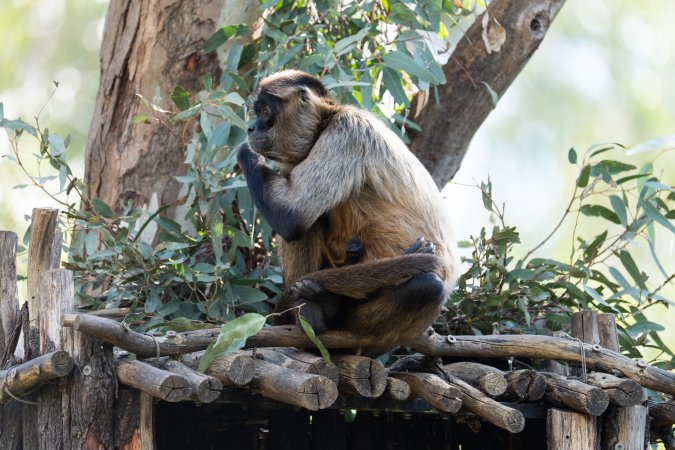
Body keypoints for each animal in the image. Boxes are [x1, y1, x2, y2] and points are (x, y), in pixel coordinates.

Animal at [237, 69, 461, 345]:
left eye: (265, 111)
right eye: (257, 112)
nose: (250, 127)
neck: (327, 121)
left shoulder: (345, 131)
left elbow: (293, 215)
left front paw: (244, 152)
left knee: (428, 286)